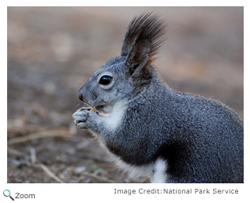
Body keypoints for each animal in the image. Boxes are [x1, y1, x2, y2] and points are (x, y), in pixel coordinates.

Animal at [73, 13, 244, 183]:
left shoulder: (146, 123)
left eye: (105, 80)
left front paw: (88, 118)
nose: (80, 95)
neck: (140, 96)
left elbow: (127, 146)